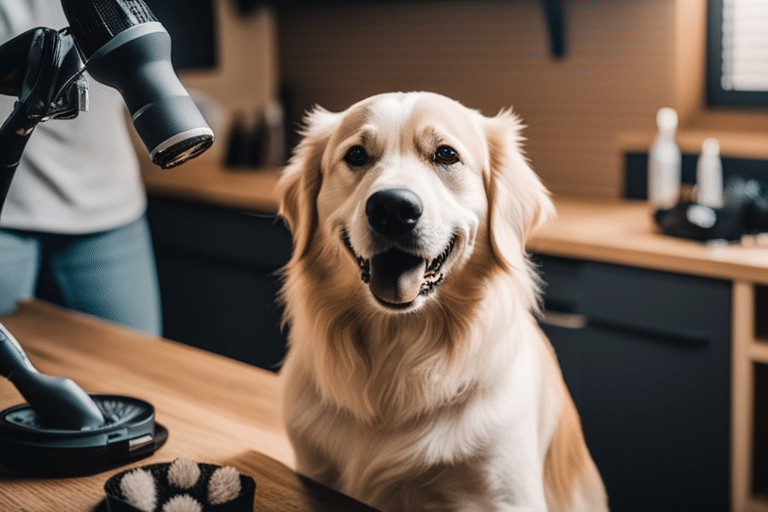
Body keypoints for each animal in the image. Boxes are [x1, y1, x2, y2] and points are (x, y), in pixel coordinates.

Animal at [274, 93, 608, 512]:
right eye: (356, 155)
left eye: (446, 154)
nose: (392, 209)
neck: (397, 354)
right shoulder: (315, 467)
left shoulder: (505, 494)